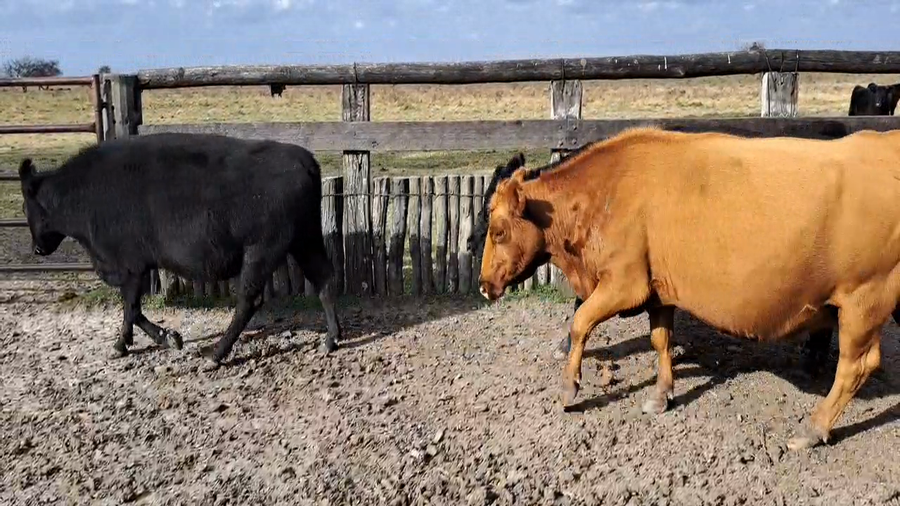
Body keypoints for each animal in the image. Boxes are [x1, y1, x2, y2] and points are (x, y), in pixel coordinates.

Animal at [18, 132, 342, 365]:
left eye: (25, 206)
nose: (36, 250)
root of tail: (304, 160)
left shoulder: (130, 267)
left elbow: (131, 308)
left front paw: (135, 343)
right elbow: (133, 310)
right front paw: (159, 339)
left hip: (262, 251)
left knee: (249, 300)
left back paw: (215, 354)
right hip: (305, 241)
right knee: (325, 279)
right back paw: (332, 340)